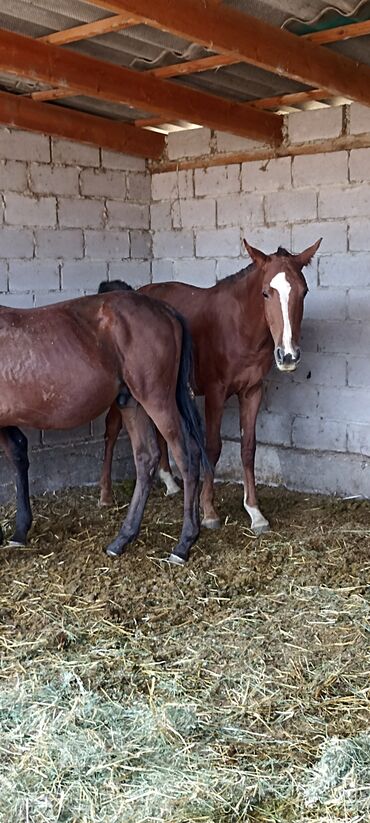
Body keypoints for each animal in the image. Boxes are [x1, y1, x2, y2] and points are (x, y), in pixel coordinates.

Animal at [0, 292, 207, 568]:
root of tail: (165, 310)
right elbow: (18, 454)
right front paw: (19, 531)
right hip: (131, 402)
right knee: (146, 458)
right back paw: (122, 539)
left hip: (157, 400)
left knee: (187, 455)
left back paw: (183, 544)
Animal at [98, 238, 320, 536]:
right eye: (265, 293)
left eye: (303, 292)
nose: (288, 356)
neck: (239, 325)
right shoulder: (216, 393)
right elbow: (212, 447)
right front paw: (209, 511)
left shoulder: (252, 392)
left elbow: (248, 448)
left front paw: (255, 512)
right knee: (111, 430)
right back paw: (105, 494)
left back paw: (170, 482)